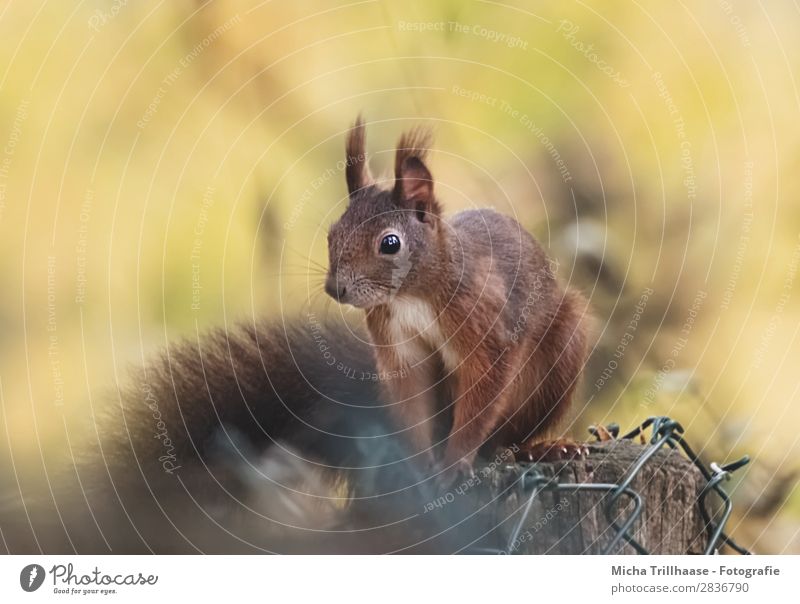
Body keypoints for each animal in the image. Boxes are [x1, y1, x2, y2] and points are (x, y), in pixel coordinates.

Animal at [322, 115, 592, 478]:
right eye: (331, 235)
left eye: (390, 243)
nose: (334, 288)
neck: (411, 296)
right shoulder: (396, 342)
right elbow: (413, 399)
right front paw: (419, 467)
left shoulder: (485, 325)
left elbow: (482, 393)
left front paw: (452, 466)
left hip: (560, 355)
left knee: (505, 438)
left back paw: (542, 449)